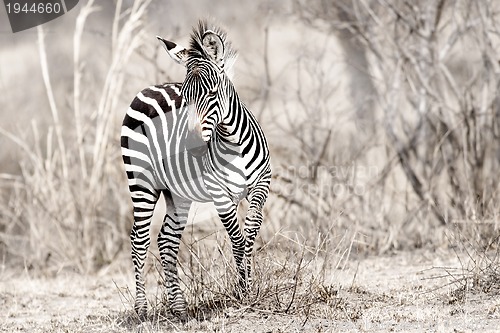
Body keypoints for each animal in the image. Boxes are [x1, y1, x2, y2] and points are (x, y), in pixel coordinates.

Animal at [120, 20, 272, 320]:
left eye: (212, 94)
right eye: (185, 98)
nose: (191, 145)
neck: (233, 141)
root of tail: (148, 88)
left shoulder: (262, 182)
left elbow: (251, 230)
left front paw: (250, 284)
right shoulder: (220, 194)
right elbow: (237, 239)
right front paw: (242, 292)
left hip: (178, 194)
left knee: (166, 240)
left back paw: (178, 307)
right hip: (142, 184)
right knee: (139, 240)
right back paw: (142, 308)